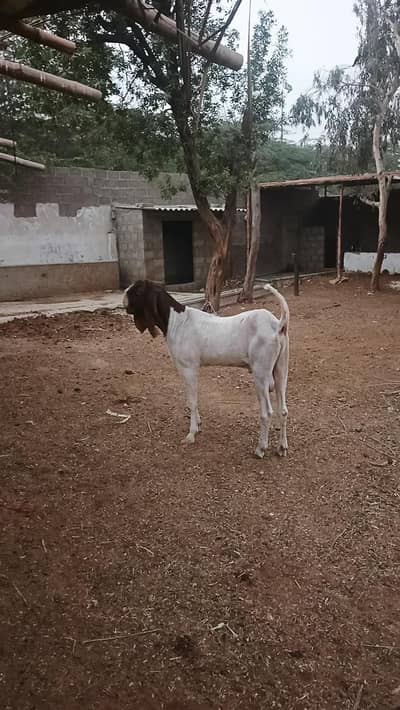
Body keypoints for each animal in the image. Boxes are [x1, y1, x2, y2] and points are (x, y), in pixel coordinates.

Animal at [123, 280, 289, 458]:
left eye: (138, 291)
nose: (123, 301)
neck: (177, 321)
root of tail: (277, 326)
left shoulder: (188, 368)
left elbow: (192, 401)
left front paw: (191, 434)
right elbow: (191, 399)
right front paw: (198, 424)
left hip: (261, 374)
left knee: (267, 412)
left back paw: (260, 448)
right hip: (280, 370)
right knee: (283, 410)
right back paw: (282, 447)